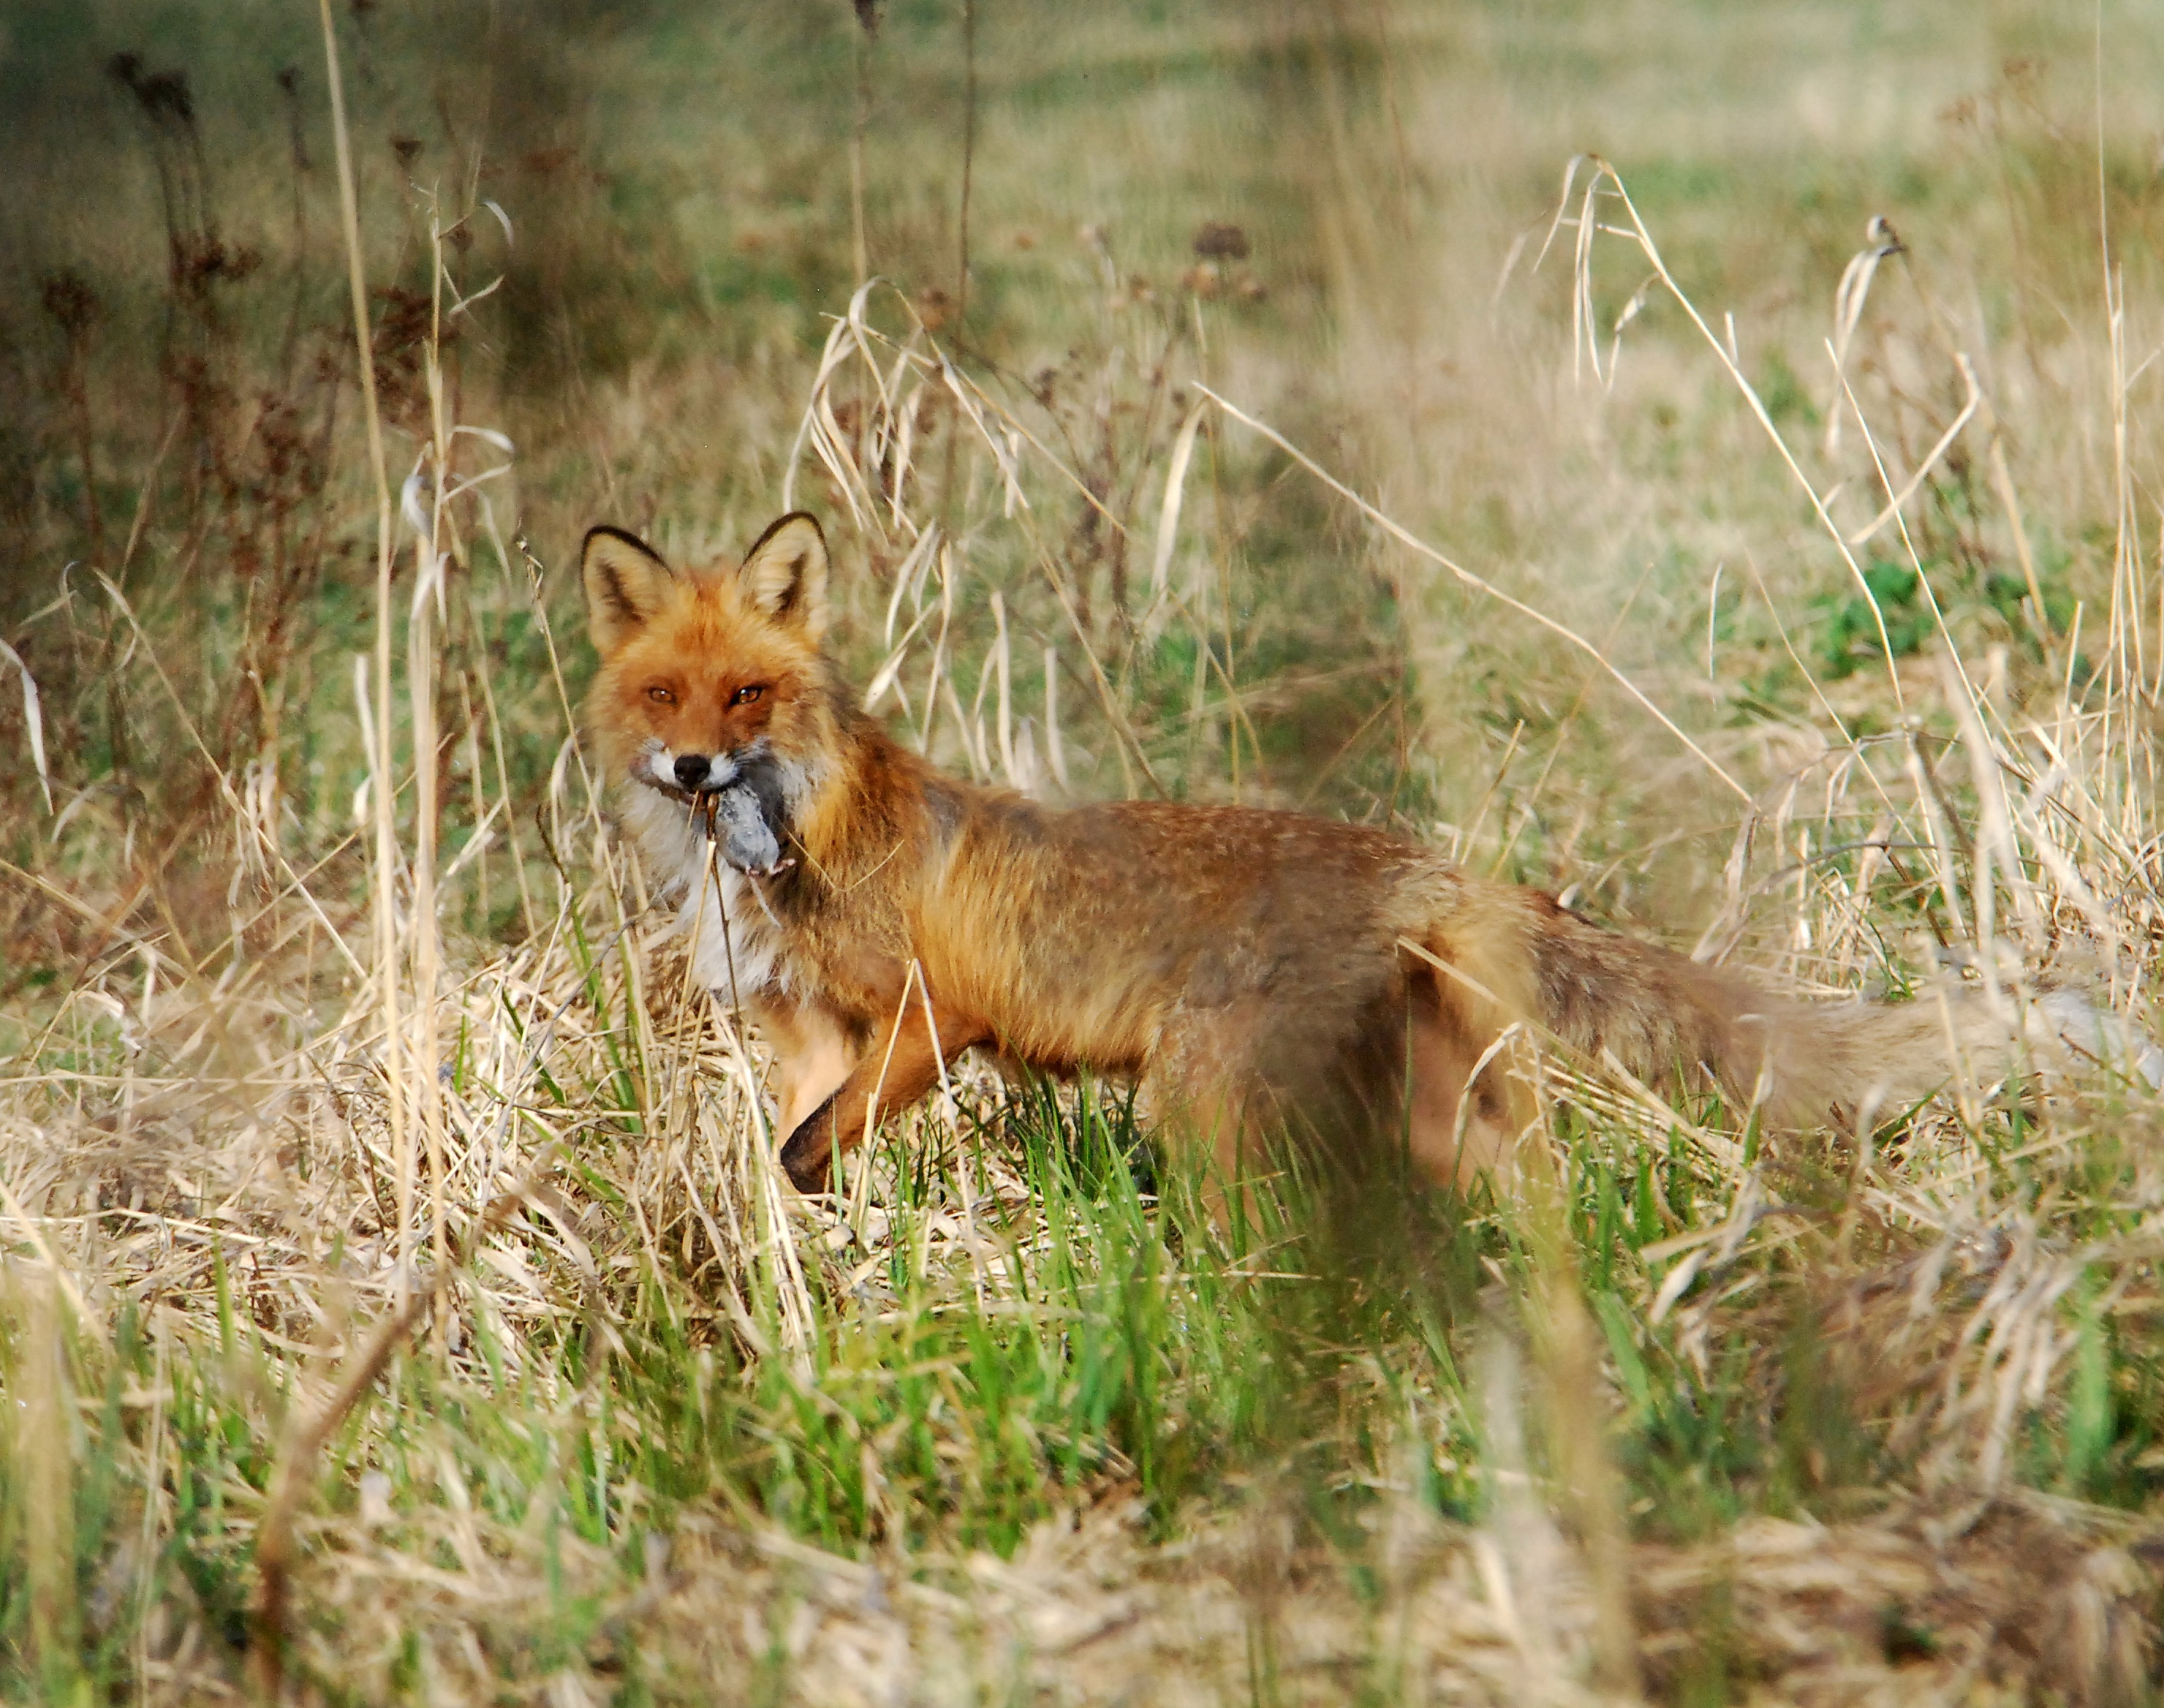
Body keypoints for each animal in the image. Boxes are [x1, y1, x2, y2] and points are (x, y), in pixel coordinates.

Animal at [584, 513, 2155, 1195]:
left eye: (750, 694)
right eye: (666, 696)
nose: (696, 771)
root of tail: (1433, 862)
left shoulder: (930, 1013)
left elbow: (808, 1144)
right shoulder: (803, 1031)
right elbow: (787, 1149)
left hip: (1198, 1109)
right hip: (1426, 1104)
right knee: (1526, 1188)